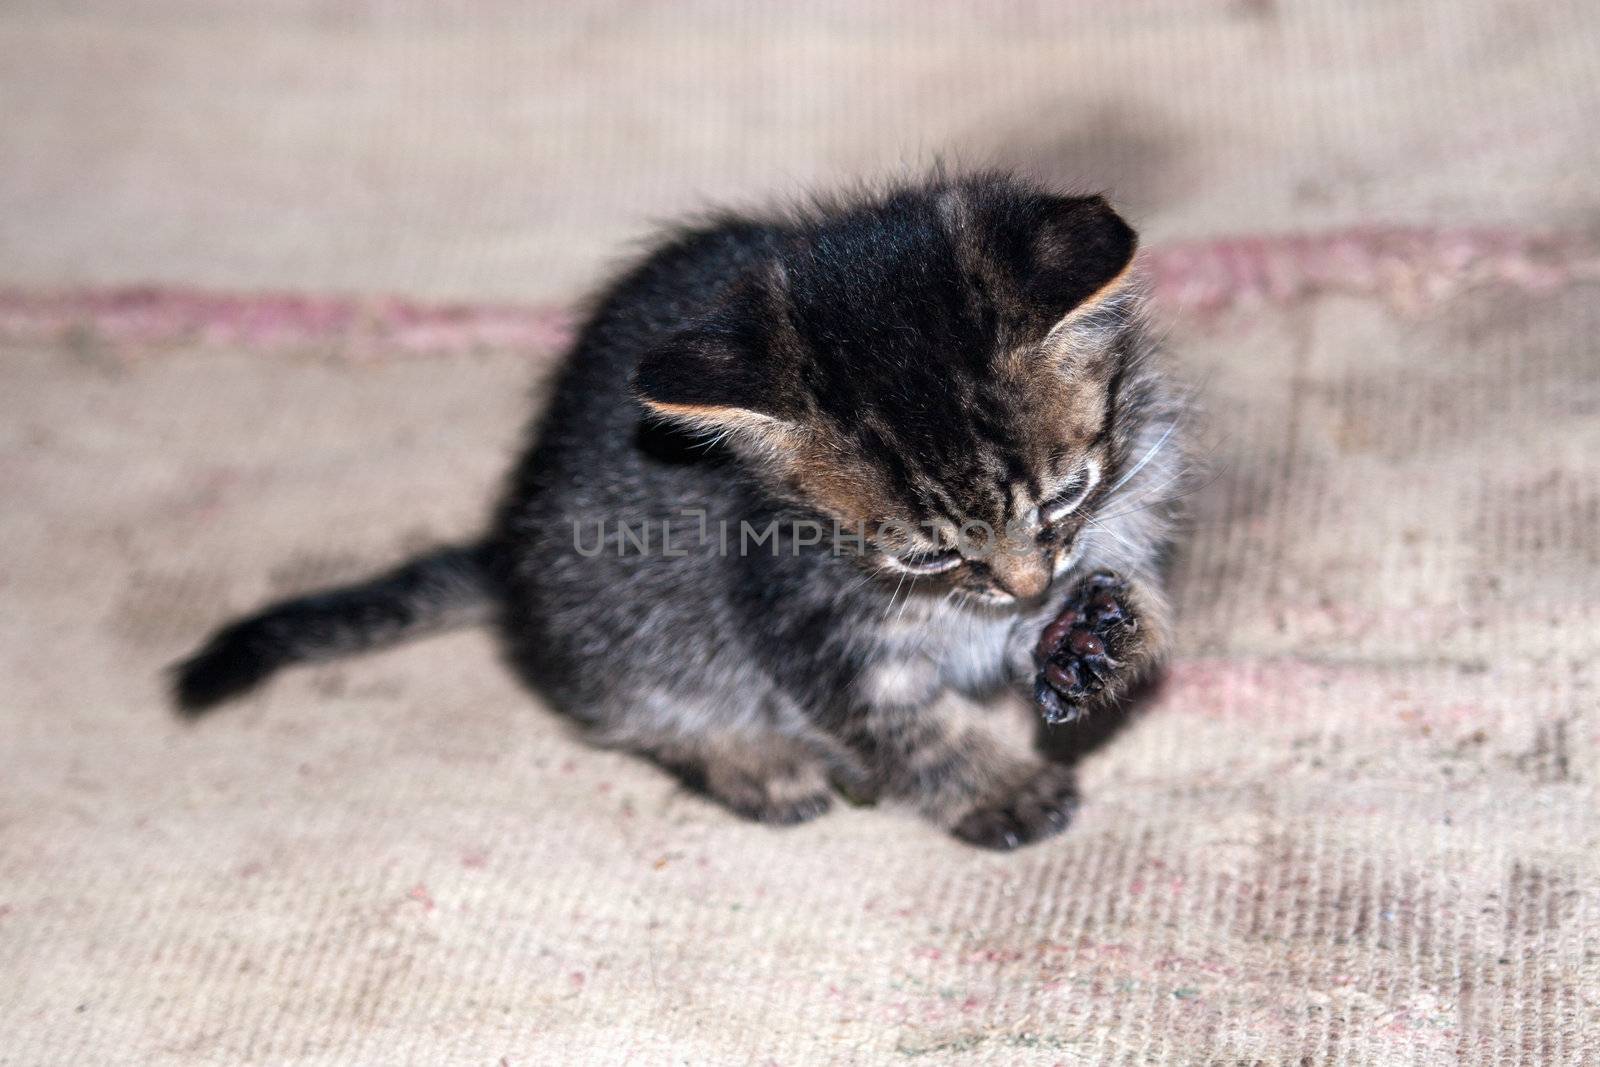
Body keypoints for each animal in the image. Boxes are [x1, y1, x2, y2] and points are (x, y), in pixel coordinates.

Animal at [181, 175, 1196, 851]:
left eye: (1065, 496)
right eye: (922, 557)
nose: (1029, 585)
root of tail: (508, 550)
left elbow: (1129, 598)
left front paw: (1099, 639)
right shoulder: (797, 608)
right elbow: (900, 723)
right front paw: (993, 786)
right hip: (624, 616)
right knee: (629, 700)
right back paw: (755, 761)